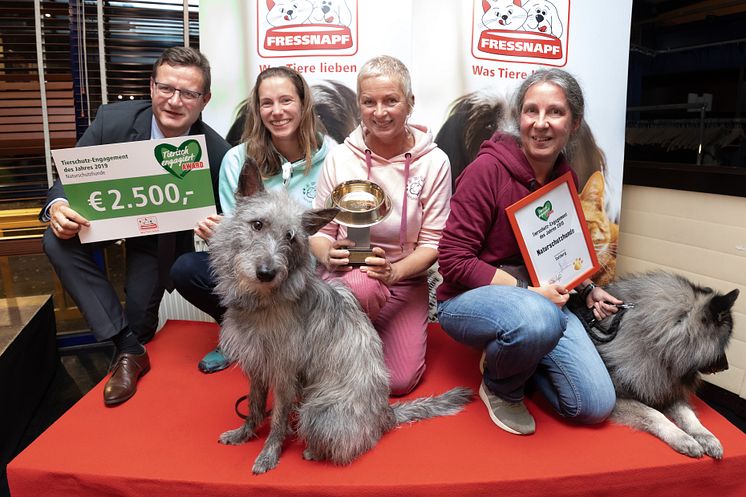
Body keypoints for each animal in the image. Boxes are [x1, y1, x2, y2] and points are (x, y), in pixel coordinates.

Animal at [209, 162, 470, 472]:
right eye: (257, 224)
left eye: (290, 237)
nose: (266, 273)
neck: (264, 301)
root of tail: (386, 415)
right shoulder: (257, 366)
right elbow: (255, 406)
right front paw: (244, 433)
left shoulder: (285, 375)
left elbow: (279, 420)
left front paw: (269, 453)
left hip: (317, 409)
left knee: (355, 442)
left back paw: (314, 451)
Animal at [588, 272, 740, 458]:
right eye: (723, 345)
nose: (726, 367)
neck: (658, 346)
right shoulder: (619, 399)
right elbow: (655, 414)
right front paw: (683, 438)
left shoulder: (667, 389)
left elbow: (689, 415)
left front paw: (706, 436)